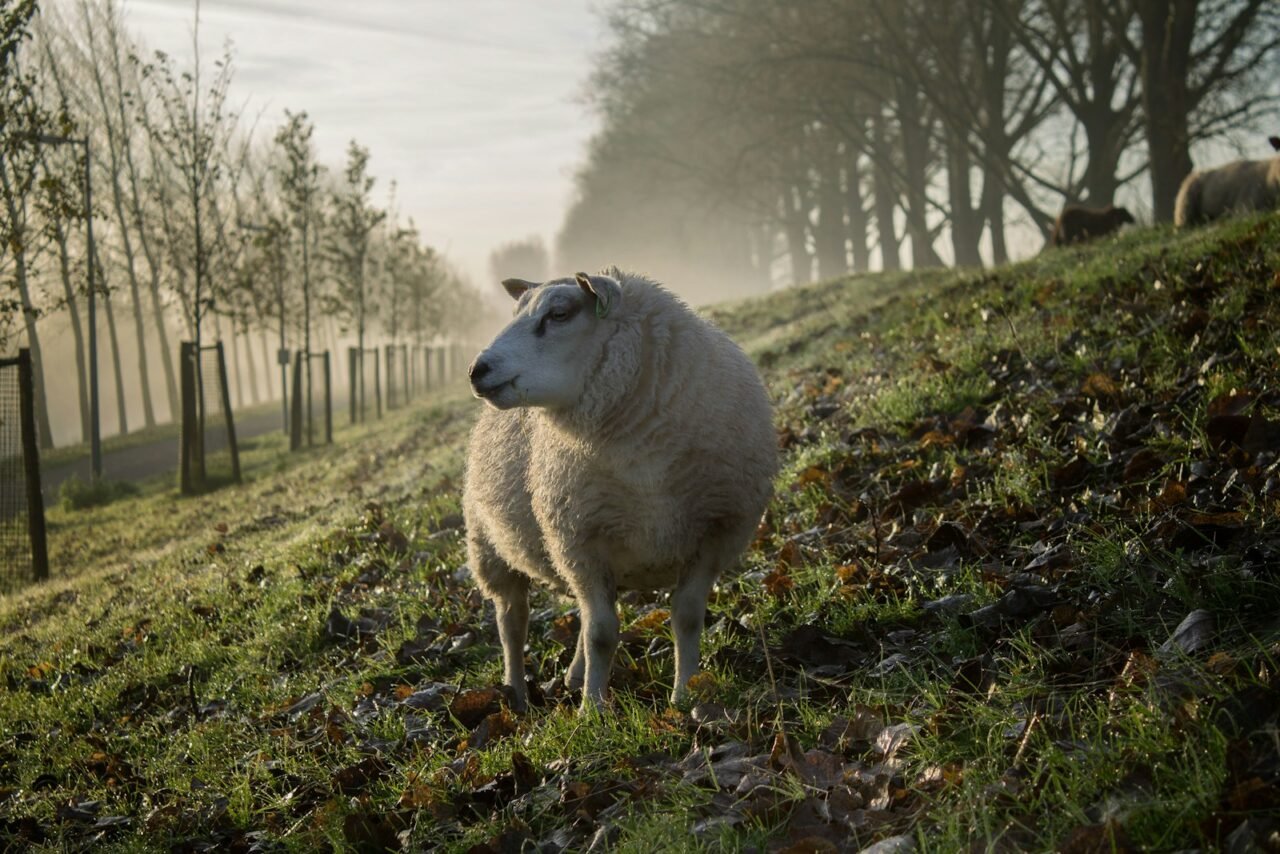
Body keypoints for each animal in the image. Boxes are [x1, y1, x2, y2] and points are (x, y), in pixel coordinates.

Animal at [462, 269, 777, 710]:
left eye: (559, 314)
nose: (477, 370)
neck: (644, 463)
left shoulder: (715, 534)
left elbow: (686, 616)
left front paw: (685, 695)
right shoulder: (580, 542)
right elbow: (601, 633)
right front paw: (593, 710)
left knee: (574, 614)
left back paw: (574, 677)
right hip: (490, 547)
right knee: (512, 620)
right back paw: (517, 693)